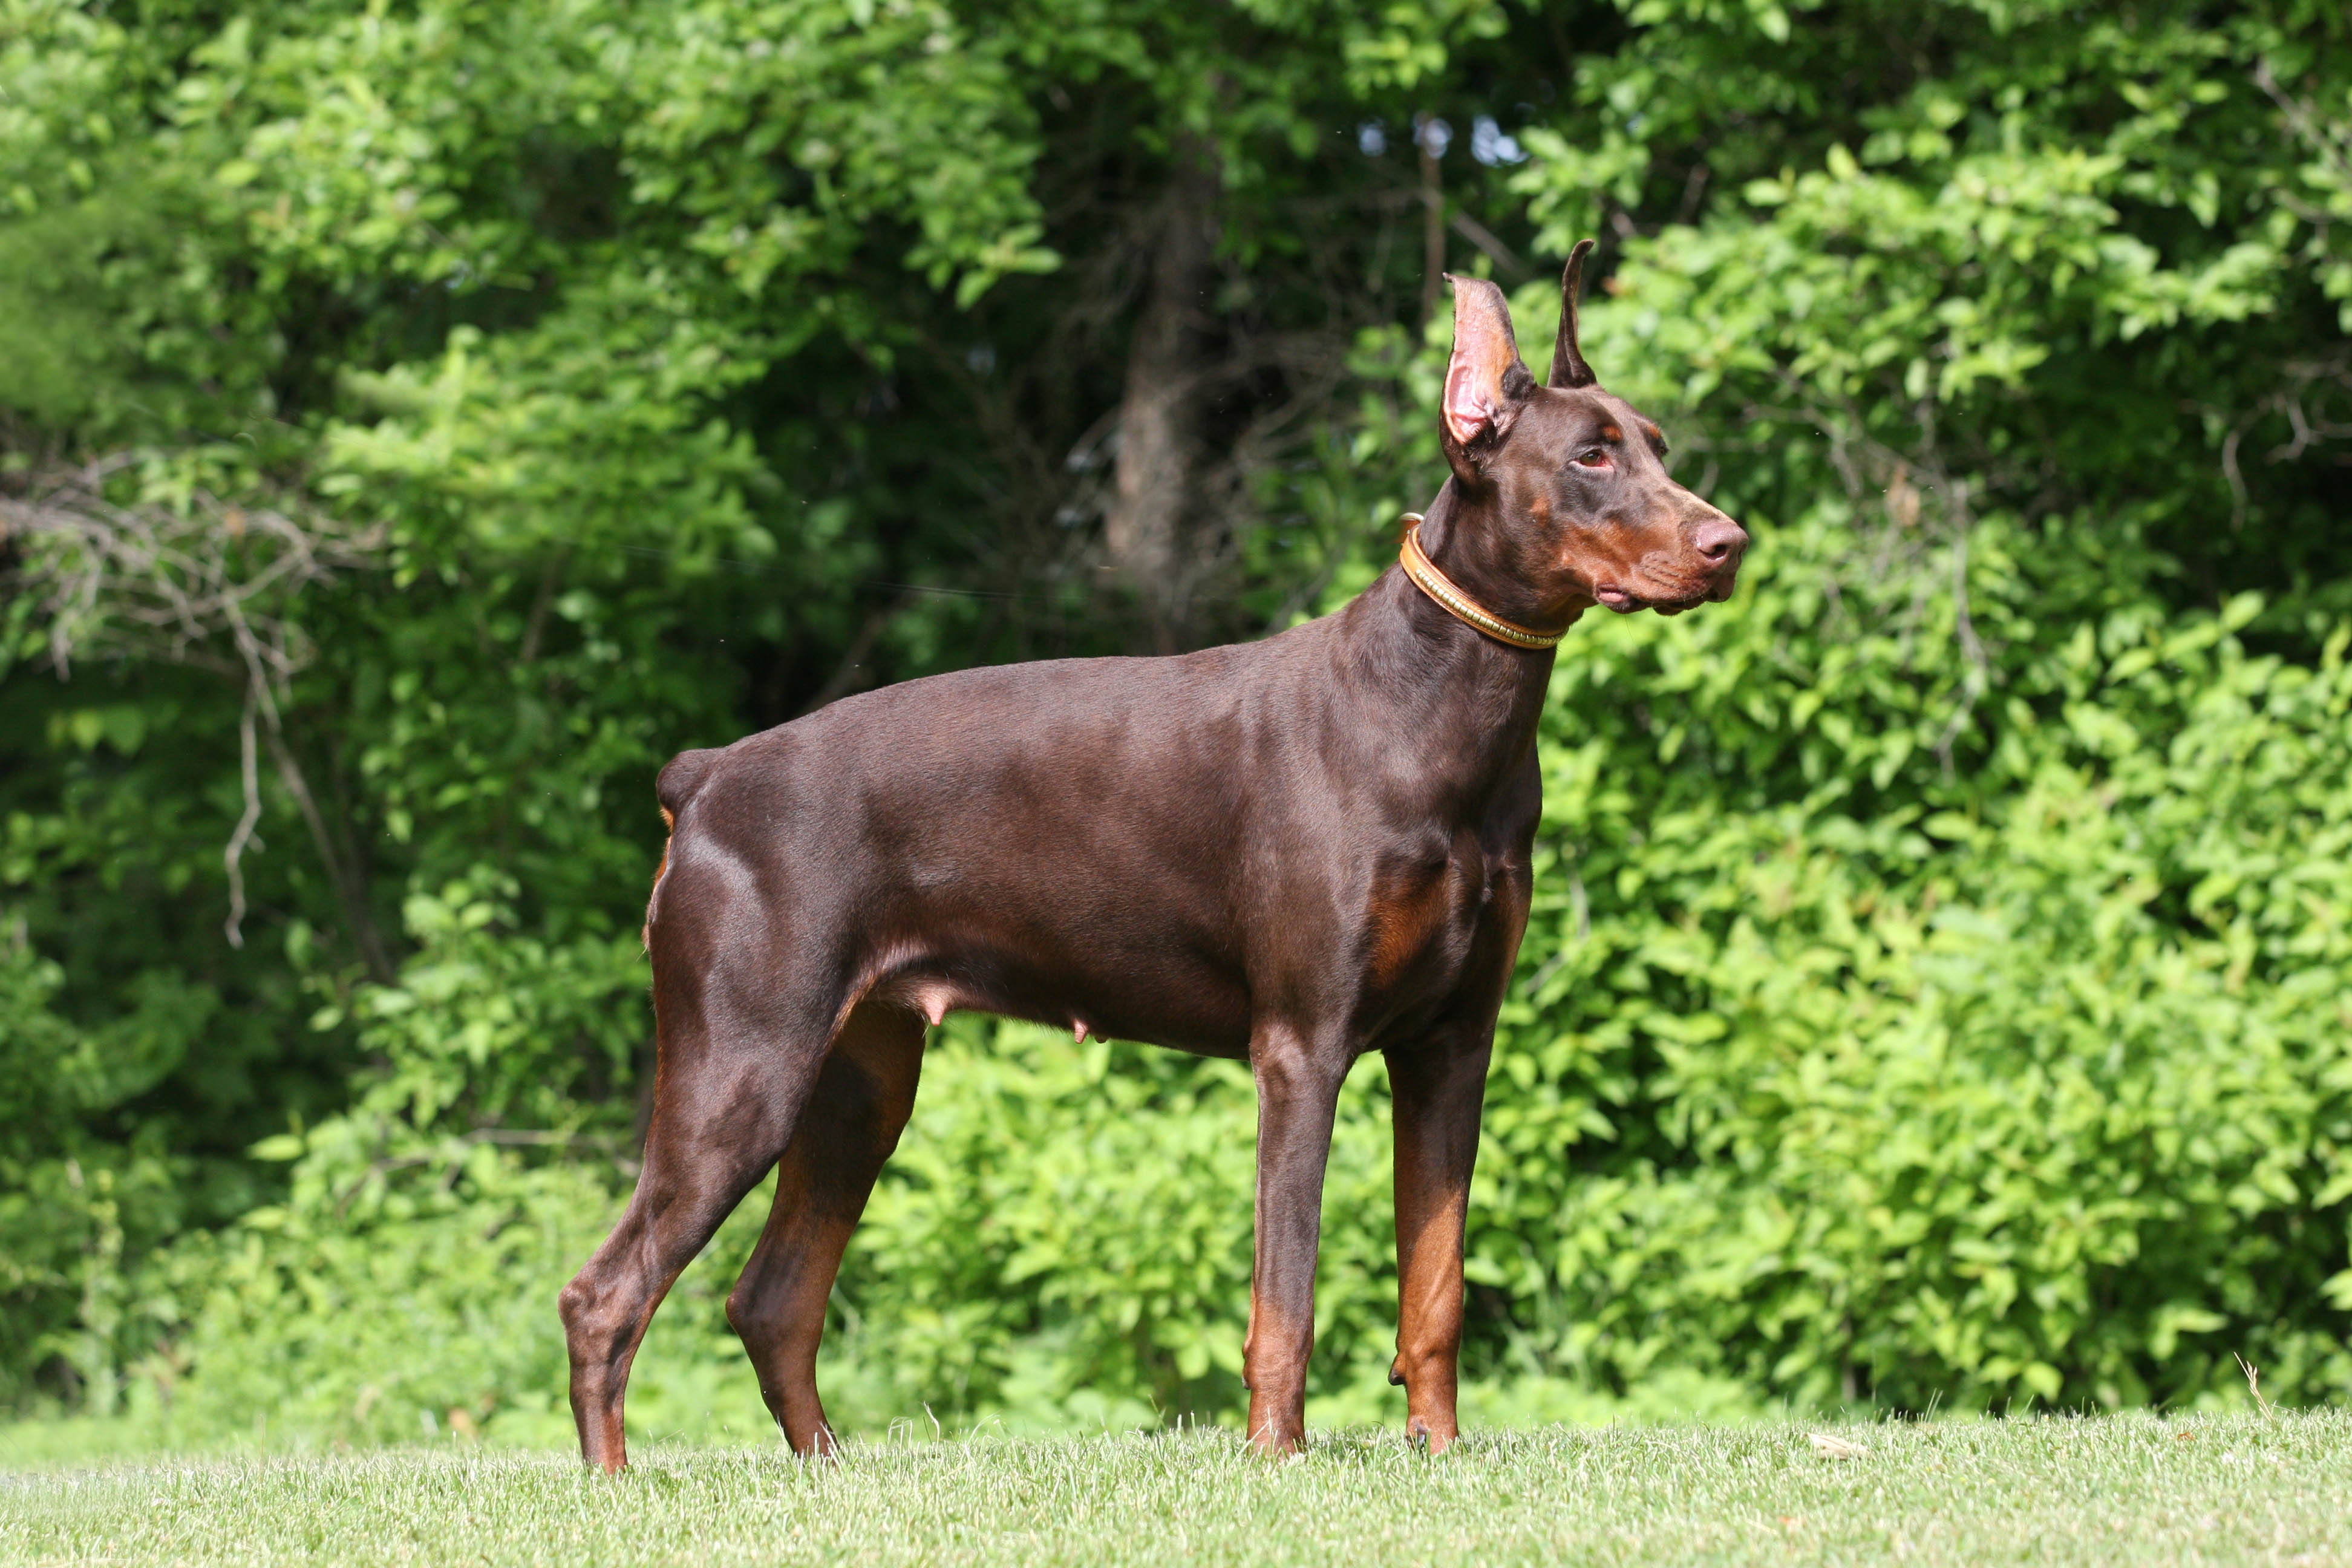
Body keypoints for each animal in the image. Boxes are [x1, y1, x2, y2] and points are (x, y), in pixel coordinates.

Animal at [560, 240, 1740, 1466]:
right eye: (1591, 455)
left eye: (1657, 444)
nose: (1729, 543)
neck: (1438, 708)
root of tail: (705, 777)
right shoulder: (1302, 1048)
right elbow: (1287, 1291)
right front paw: (1276, 1458)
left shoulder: (1453, 1047)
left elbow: (1436, 1282)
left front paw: (1440, 1454)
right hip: (741, 1066)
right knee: (606, 1294)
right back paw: (616, 1482)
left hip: (857, 1084)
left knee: (773, 1297)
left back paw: (826, 1470)